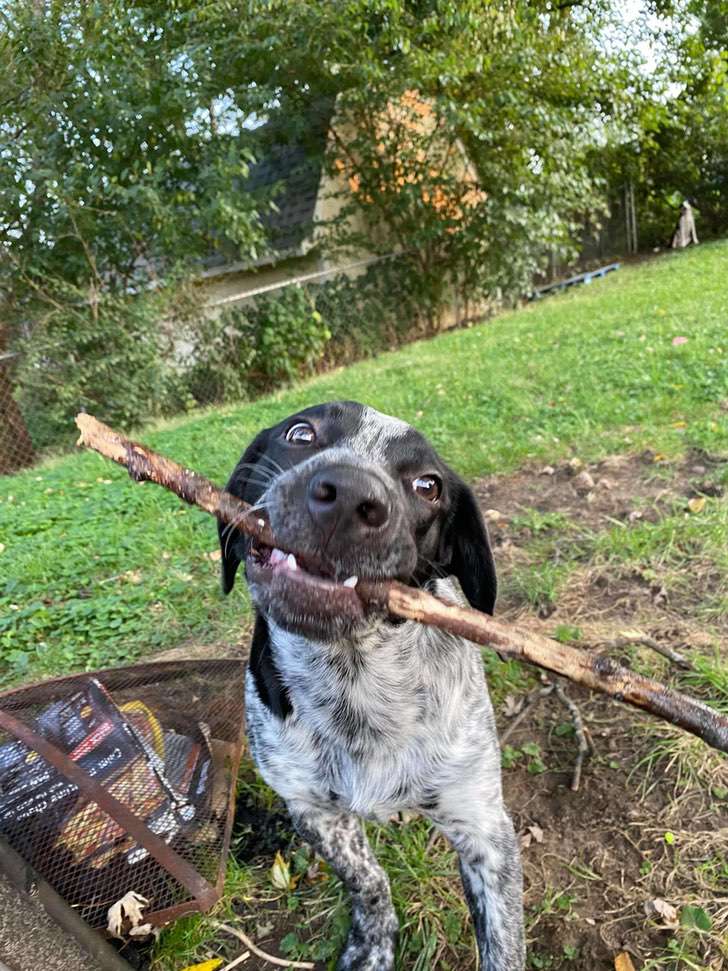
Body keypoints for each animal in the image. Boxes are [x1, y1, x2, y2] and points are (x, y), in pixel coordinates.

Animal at [219, 398, 528, 968]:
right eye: (300, 433)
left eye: (428, 486)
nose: (347, 495)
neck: (355, 679)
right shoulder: (312, 810)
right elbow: (368, 880)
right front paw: (373, 943)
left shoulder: (484, 829)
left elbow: (503, 946)